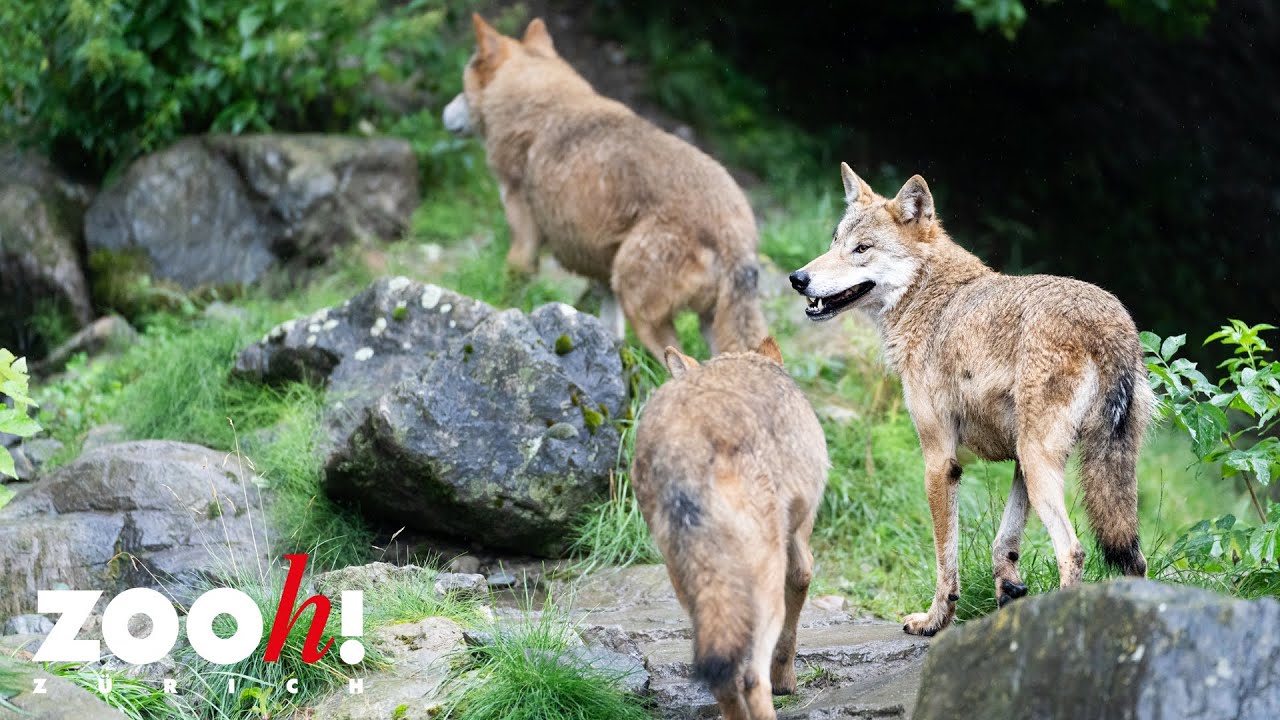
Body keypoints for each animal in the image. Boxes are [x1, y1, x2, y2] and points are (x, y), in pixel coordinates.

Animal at [443, 15, 768, 359]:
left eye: (461, 89)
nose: (444, 112)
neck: (538, 107)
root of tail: (734, 236)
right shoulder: (602, 280)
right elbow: (610, 334)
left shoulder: (524, 241)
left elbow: (510, 293)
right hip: (707, 323)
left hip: (644, 313)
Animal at [631, 338, 829, 719]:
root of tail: (684, 442)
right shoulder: (799, 538)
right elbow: (798, 594)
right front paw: (786, 681)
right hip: (760, 581)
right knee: (750, 677)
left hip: (692, 580)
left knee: (723, 675)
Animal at [789, 164, 1151, 635]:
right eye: (835, 242)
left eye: (861, 249)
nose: (798, 279)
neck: (928, 298)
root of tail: (1110, 324)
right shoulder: (1016, 461)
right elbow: (1004, 543)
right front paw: (1008, 593)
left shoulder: (939, 460)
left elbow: (946, 559)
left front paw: (934, 621)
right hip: (1079, 468)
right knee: (1134, 560)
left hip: (1043, 463)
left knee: (1072, 550)